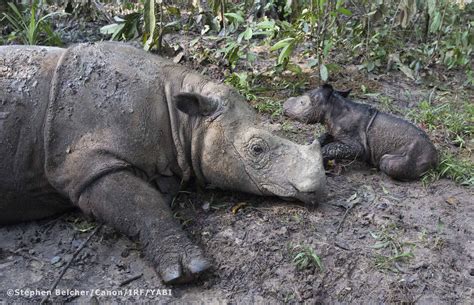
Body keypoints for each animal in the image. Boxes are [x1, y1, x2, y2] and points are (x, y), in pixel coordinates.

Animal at [0, 43, 326, 284]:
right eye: (257, 149)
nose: (317, 185)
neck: (182, 119)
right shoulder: (86, 167)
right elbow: (142, 202)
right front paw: (189, 270)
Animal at [284, 83, 438, 180]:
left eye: (302, 103)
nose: (284, 107)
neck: (332, 107)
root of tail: (436, 157)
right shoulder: (335, 132)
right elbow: (325, 138)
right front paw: (309, 146)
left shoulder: (358, 146)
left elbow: (332, 147)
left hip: (414, 154)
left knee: (387, 163)